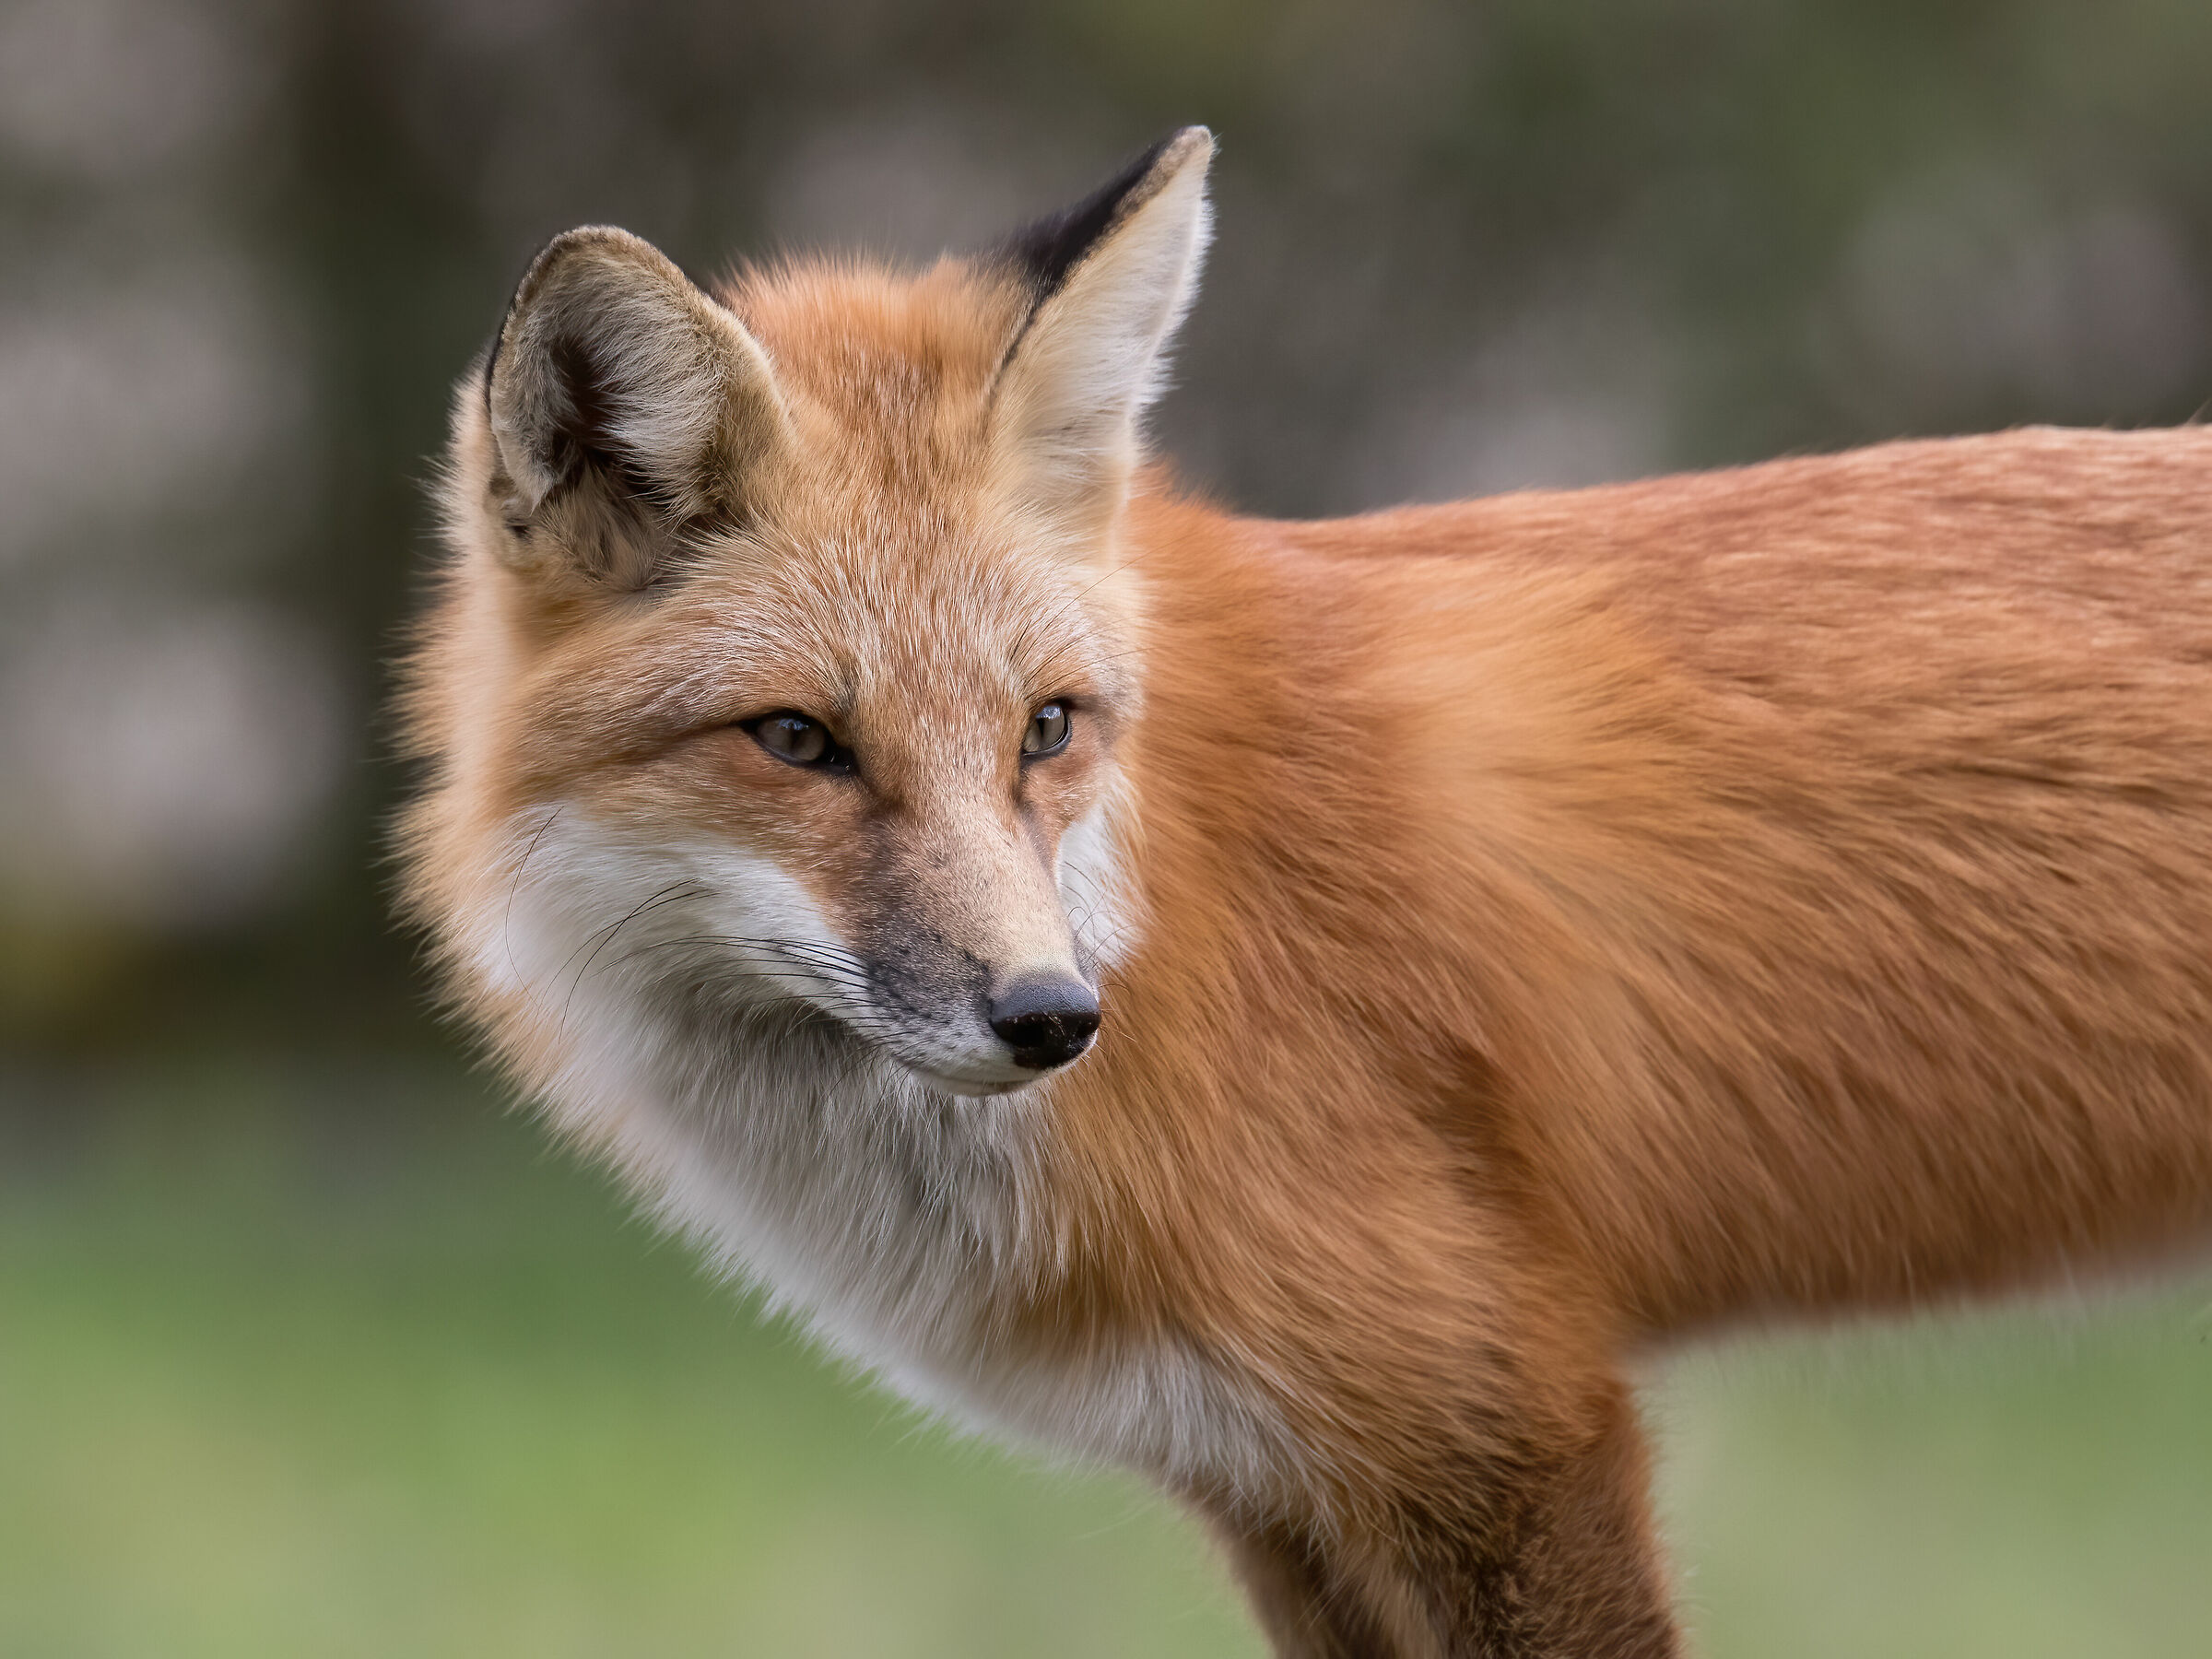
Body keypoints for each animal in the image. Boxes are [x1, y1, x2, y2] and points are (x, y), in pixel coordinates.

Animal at [397, 125, 2212, 1656]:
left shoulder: (1497, 1423)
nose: (1052, 1018)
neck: (1160, 891)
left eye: (1047, 727)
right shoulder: (1275, 1486)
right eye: (797, 740)